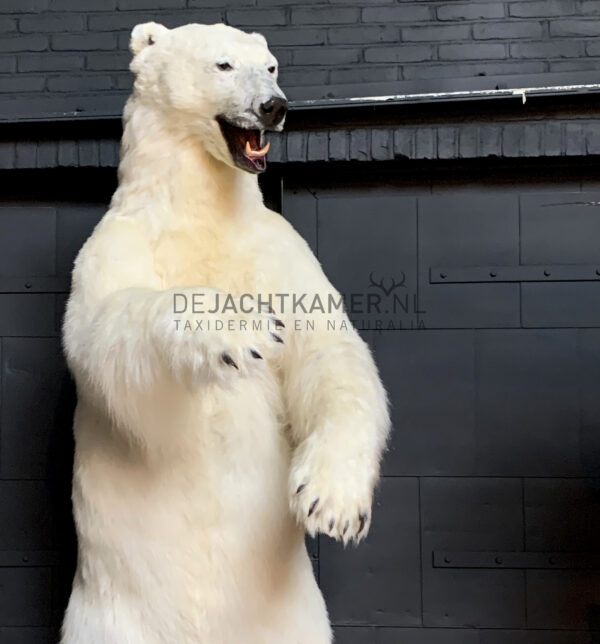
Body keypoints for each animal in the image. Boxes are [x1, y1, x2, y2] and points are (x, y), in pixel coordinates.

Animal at [61, 20, 390, 644]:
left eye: (271, 66)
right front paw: (238, 328)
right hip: (109, 618)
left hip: (295, 619)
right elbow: (108, 348)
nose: (274, 107)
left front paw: (334, 502)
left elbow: (329, 352)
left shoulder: (277, 249)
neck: (200, 208)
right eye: (222, 65)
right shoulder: (114, 247)